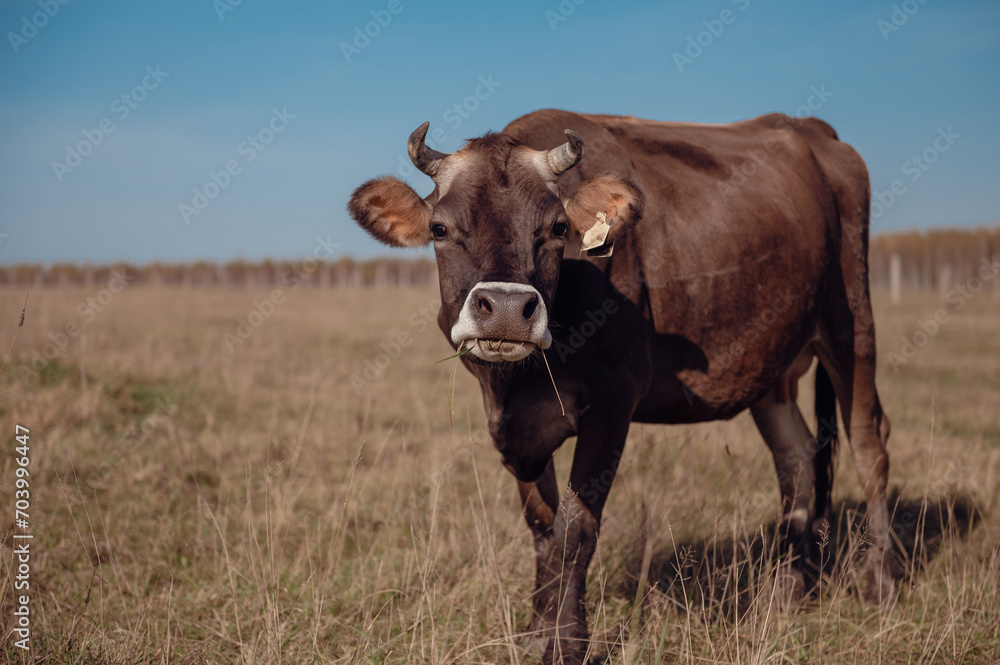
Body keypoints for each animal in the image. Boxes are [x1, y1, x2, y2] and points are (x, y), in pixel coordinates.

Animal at [348, 110, 896, 664]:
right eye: (439, 228)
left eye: (558, 228)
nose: (504, 309)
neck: (518, 385)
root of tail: (808, 127)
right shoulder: (514, 428)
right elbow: (542, 525)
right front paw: (536, 629)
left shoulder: (613, 403)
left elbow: (574, 529)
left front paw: (566, 643)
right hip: (771, 366)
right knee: (797, 458)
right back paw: (786, 590)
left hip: (852, 325)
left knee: (868, 446)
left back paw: (880, 581)